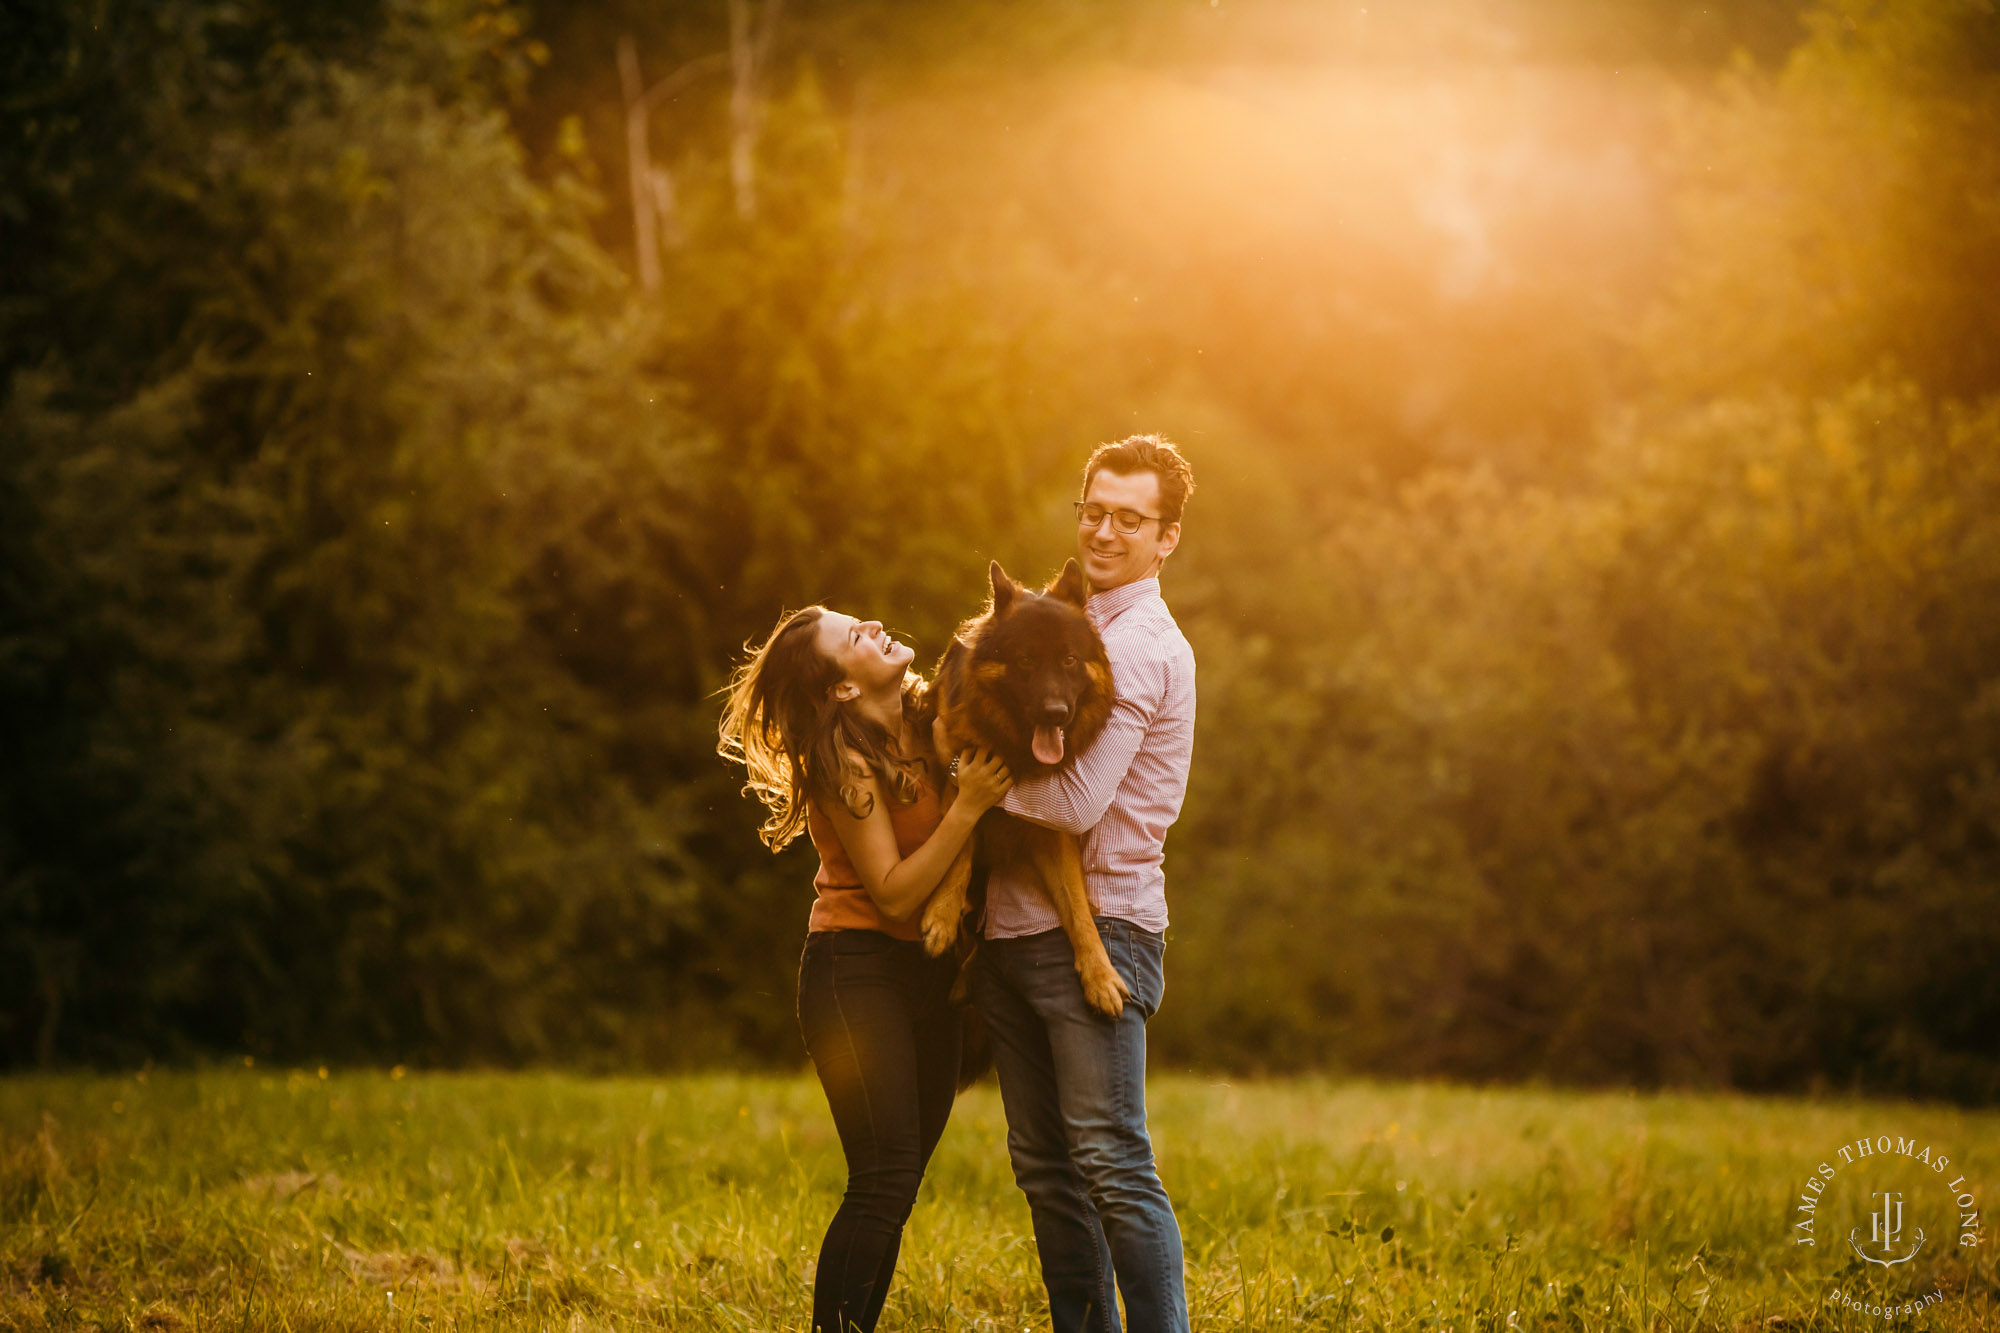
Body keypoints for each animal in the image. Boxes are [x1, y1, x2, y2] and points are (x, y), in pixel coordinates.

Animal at [916, 556, 1136, 1012]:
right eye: (1026, 660)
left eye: (1069, 659)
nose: (1055, 713)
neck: (1015, 752)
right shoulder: (959, 788)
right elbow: (959, 852)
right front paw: (942, 917)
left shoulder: (1053, 835)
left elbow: (1077, 907)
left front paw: (1100, 973)